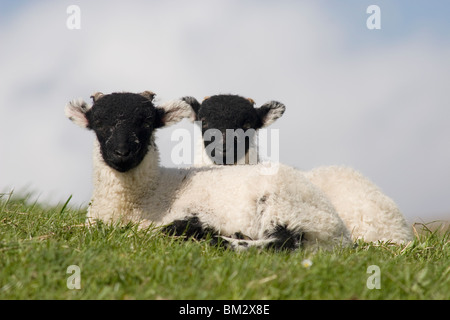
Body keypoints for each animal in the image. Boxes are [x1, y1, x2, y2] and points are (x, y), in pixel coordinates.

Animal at [64, 91, 352, 251]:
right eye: (99, 123)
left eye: (146, 123)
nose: (122, 153)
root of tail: (340, 233)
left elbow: (175, 229)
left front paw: (204, 233)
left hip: (285, 206)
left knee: (285, 243)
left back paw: (228, 242)